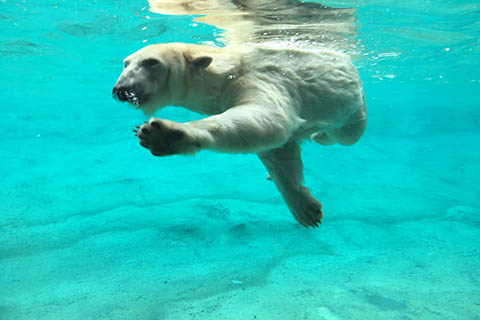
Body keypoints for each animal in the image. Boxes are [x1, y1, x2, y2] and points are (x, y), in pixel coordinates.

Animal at [113, 42, 368, 228]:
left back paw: (320, 136)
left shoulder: (259, 78)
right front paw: (304, 207)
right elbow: (277, 150)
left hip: (351, 108)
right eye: (126, 63)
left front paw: (164, 135)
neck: (223, 73)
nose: (121, 90)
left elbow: (267, 120)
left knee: (347, 134)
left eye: (151, 62)